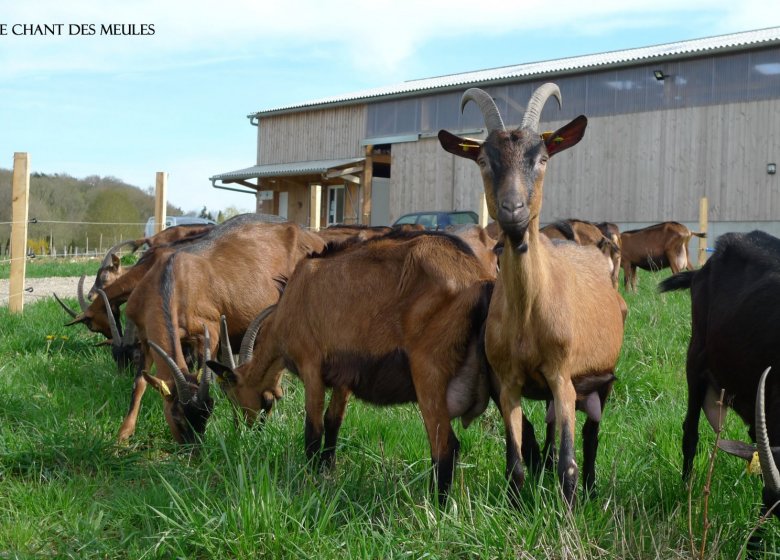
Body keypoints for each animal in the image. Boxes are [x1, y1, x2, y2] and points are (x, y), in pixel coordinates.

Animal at [206, 230, 494, 506]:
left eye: (231, 394)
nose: (242, 432)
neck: (291, 299)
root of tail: (478, 278)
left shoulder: (311, 366)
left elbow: (313, 431)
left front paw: (310, 481)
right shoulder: (344, 377)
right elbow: (333, 422)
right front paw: (327, 470)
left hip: (428, 374)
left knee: (445, 447)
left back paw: (435, 509)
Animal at [438, 84, 628, 508]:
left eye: (541, 158)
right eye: (483, 160)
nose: (513, 210)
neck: (528, 316)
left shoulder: (562, 376)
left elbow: (568, 465)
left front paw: (570, 514)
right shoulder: (508, 383)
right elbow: (515, 461)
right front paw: (515, 504)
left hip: (602, 378)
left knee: (590, 436)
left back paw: (592, 489)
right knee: (547, 432)